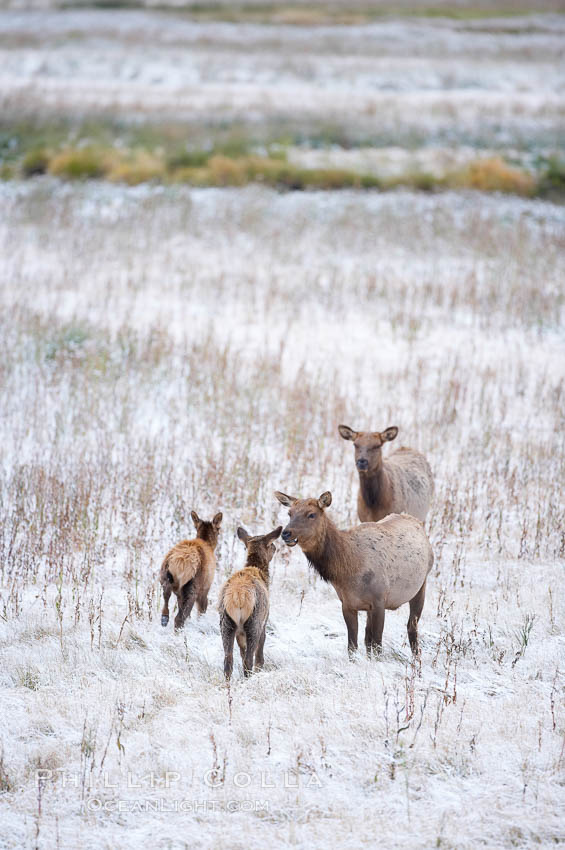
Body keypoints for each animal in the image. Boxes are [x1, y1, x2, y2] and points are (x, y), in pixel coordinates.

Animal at [219, 524, 282, 676]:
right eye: (271, 544)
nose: (276, 548)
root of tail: (238, 596)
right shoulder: (265, 620)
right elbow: (259, 654)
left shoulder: (239, 632)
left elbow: (241, 653)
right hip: (254, 622)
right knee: (249, 659)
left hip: (226, 623)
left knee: (228, 660)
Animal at [274, 490, 432, 656]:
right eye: (290, 513)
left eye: (311, 514)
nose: (286, 533)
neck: (348, 570)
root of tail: (414, 520)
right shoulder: (348, 604)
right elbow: (353, 646)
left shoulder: (379, 600)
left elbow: (377, 645)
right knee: (368, 636)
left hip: (421, 586)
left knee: (411, 627)